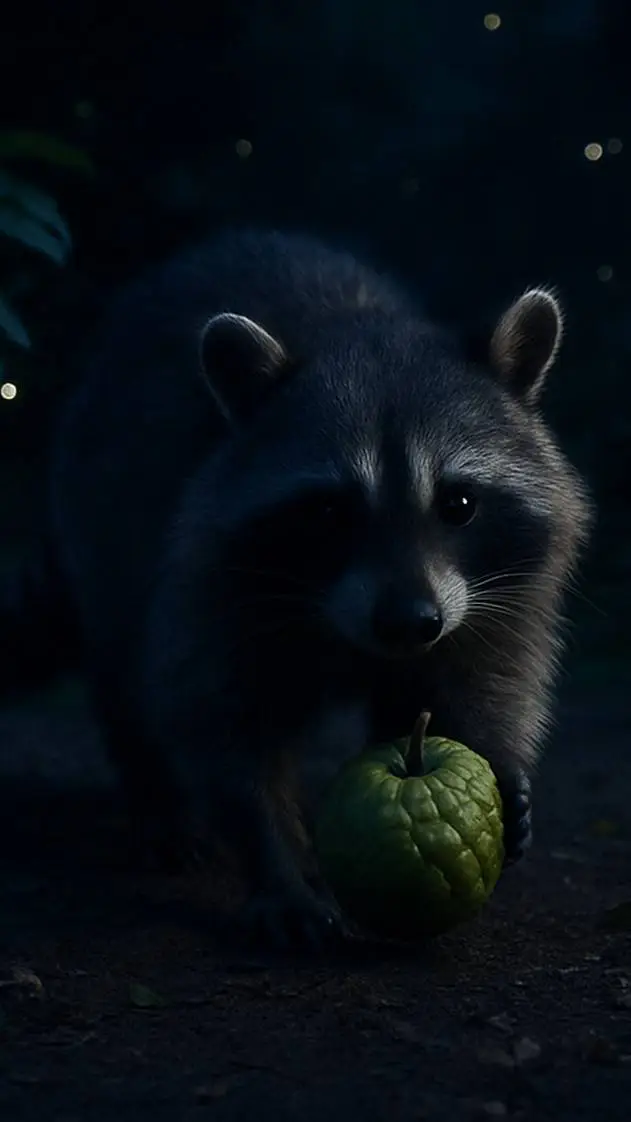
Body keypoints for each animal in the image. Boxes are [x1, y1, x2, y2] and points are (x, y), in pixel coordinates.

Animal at [1, 229, 591, 946]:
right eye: (332, 511)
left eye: (458, 503)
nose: (408, 622)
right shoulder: (209, 574)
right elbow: (221, 720)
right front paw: (273, 861)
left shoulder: (501, 585)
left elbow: (480, 678)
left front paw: (495, 755)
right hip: (98, 510)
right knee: (126, 664)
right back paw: (155, 796)